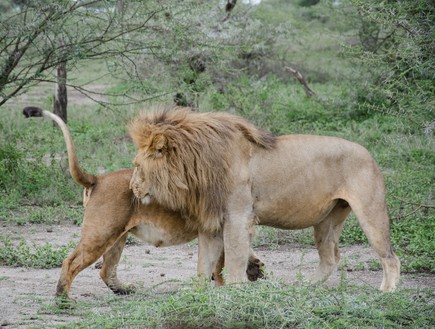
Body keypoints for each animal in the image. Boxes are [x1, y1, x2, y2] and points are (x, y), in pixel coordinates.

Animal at [22, 106, 264, 298]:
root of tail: (97, 178)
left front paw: (253, 266)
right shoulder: (218, 223)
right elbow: (221, 264)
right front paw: (230, 283)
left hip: (117, 236)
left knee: (106, 269)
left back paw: (123, 290)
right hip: (100, 233)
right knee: (71, 262)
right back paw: (63, 299)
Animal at [129, 105, 402, 290]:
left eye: (137, 166)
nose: (132, 188)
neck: (196, 168)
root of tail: (369, 154)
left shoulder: (238, 217)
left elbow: (235, 258)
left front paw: (235, 291)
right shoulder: (211, 224)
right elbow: (203, 263)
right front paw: (197, 294)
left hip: (370, 211)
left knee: (390, 257)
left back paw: (385, 292)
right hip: (327, 220)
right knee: (331, 258)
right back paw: (303, 288)